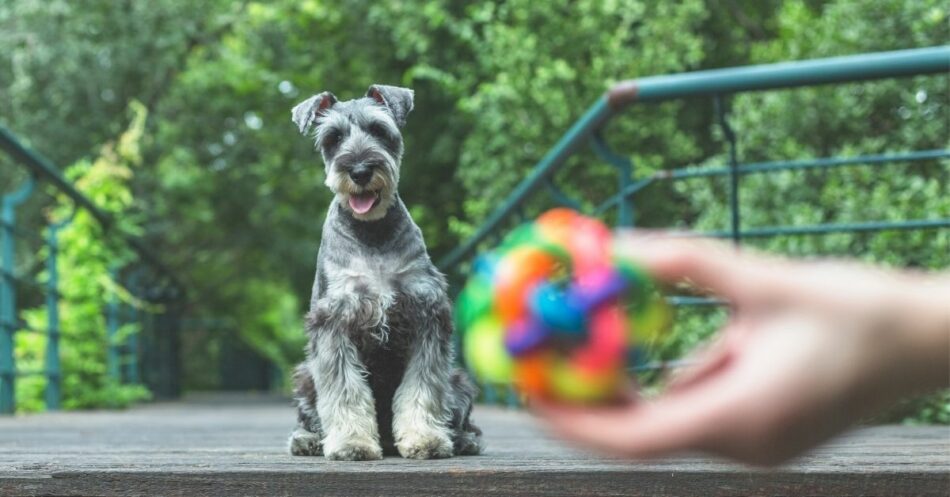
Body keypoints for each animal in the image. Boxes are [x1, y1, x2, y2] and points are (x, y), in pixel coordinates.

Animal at [286, 83, 484, 460]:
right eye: (333, 137)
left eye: (379, 130)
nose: (360, 171)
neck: (372, 234)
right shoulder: (334, 323)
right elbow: (345, 392)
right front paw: (351, 443)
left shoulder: (426, 317)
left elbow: (422, 389)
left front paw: (425, 438)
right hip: (305, 375)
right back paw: (308, 440)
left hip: (458, 379)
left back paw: (464, 439)